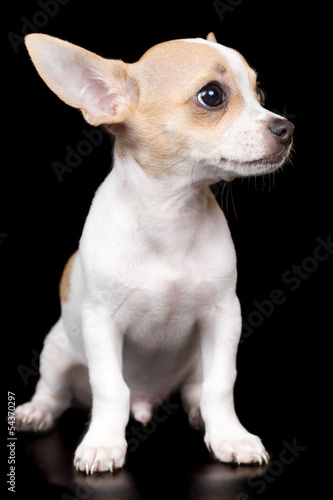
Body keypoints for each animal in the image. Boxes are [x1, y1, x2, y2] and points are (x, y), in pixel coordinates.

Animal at [16, 32, 294, 472]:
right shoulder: (101, 324)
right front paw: (103, 442)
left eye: (260, 93)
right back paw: (36, 412)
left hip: (195, 361)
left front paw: (230, 436)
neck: (170, 218)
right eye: (212, 96)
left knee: (197, 390)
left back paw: (198, 414)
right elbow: (110, 388)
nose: (287, 128)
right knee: (55, 392)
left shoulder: (224, 317)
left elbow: (220, 385)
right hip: (57, 352)